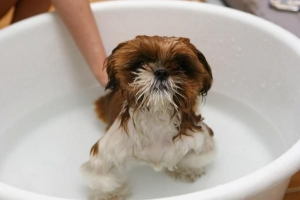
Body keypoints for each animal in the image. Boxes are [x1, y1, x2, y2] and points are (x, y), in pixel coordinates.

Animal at [81, 36, 214, 200]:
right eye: (140, 64)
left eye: (182, 66)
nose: (161, 72)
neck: (157, 118)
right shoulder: (106, 152)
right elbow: (103, 178)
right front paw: (110, 194)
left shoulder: (199, 138)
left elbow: (194, 159)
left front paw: (186, 170)